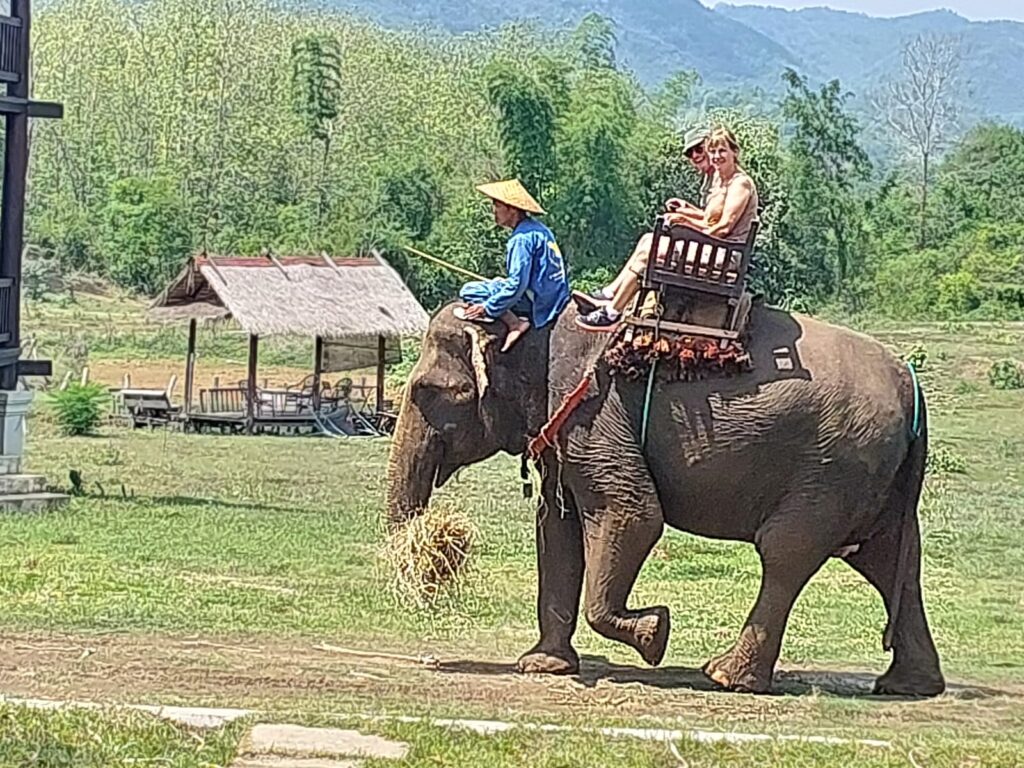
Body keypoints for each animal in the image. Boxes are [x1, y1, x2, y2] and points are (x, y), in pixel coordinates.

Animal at [387, 301, 946, 696]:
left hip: (833, 468)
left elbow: (632, 515)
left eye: (428, 392)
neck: (532, 323)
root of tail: (910, 383)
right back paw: (907, 686)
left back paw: (724, 677)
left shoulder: (593, 412)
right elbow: (557, 531)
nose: (424, 550)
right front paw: (542, 667)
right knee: (889, 560)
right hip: (870, 478)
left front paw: (656, 633)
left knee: (788, 551)